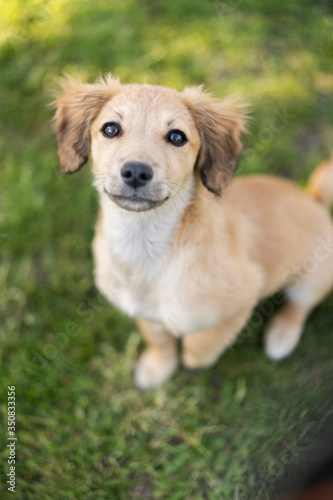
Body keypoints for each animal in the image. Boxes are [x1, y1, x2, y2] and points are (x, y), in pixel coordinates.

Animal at [53, 77, 332, 390]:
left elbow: (198, 346)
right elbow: (159, 340)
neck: (144, 247)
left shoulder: (243, 298)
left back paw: (281, 336)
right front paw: (157, 368)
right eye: (110, 129)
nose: (136, 172)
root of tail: (314, 200)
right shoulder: (145, 314)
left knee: (299, 308)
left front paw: (192, 357)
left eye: (177, 137)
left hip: (311, 279)